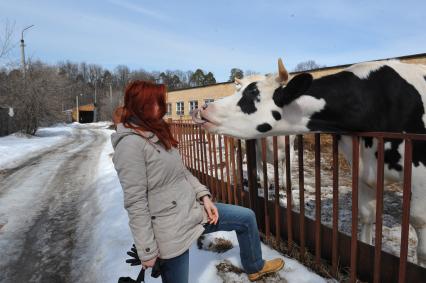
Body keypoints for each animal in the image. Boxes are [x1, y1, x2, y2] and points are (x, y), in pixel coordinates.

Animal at [192, 58, 426, 268]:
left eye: (253, 94)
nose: (203, 108)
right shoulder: (362, 169)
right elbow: (367, 215)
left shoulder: (419, 174)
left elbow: (418, 222)